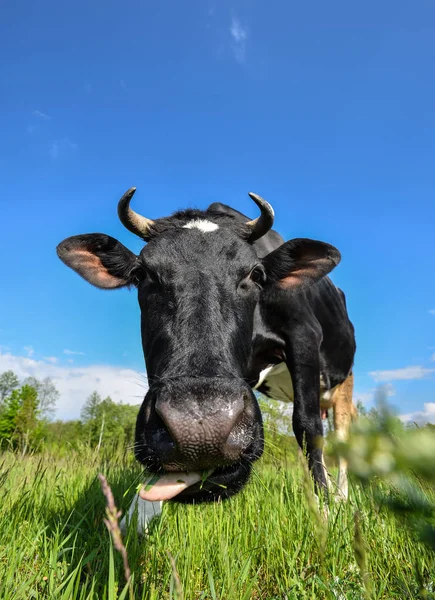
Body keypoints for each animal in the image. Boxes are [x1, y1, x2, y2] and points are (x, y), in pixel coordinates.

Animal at [57, 186, 358, 528]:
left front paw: (324, 512)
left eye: (256, 273)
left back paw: (340, 496)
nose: (201, 429)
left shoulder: (304, 336)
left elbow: (307, 427)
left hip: (343, 383)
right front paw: (137, 517)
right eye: (141, 274)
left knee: (340, 434)